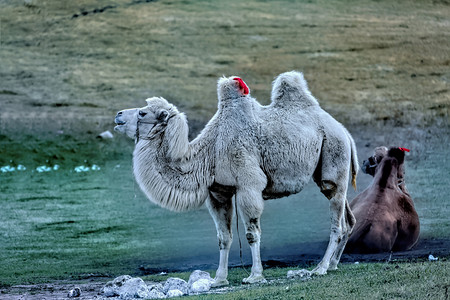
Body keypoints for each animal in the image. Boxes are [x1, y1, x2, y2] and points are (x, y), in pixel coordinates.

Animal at [115, 71, 358, 286]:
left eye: (143, 113)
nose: (118, 115)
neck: (208, 153)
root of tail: (344, 131)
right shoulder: (217, 193)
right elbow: (223, 237)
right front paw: (218, 280)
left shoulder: (248, 185)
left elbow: (251, 233)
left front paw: (255, 276)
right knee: (347, 219)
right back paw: (333, 264)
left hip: (334, 154)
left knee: (336, 222)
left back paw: (321, 267)